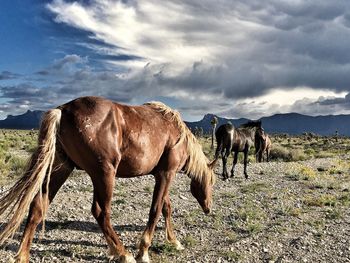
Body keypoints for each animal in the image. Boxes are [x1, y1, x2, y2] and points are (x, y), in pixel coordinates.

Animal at [0, 97, 216, 263]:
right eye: (212, 182)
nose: (208, 209)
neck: (177, 133)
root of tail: (62, 110)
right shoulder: (166, 173)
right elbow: (155, 210)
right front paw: (143, 251)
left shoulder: (159, 175)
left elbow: (166, 207)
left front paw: (174, 241)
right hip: (104, 174)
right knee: (101, 211)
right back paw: (122, 253)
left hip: (61, 169)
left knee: (38, 205)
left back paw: (23, 256)